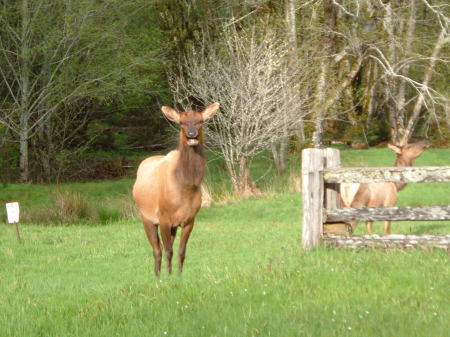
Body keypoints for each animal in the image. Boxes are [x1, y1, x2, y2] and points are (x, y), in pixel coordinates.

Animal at [132, 103, 220, 276]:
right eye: (181, 123)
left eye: (200, 121)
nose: (191, 134)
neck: (185, 187)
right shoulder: (164, 218)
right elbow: (168, 251)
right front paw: (169, 276)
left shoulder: (190, 220)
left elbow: (181, 251)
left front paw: (179, 275)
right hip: (146, 217)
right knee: (157, 250)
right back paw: (157, 275)